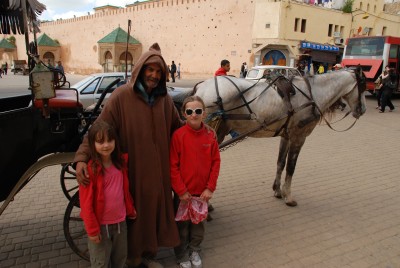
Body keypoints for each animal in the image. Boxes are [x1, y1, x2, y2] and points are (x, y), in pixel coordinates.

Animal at [189, 66, 368, 206]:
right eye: (363, 86)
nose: (363, 110)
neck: (313, 93)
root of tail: (200, 87)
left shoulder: (286, 135)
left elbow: (281, 162)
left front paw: (277, 190)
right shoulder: (298, 137)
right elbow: (291, 167)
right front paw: (288, 196)